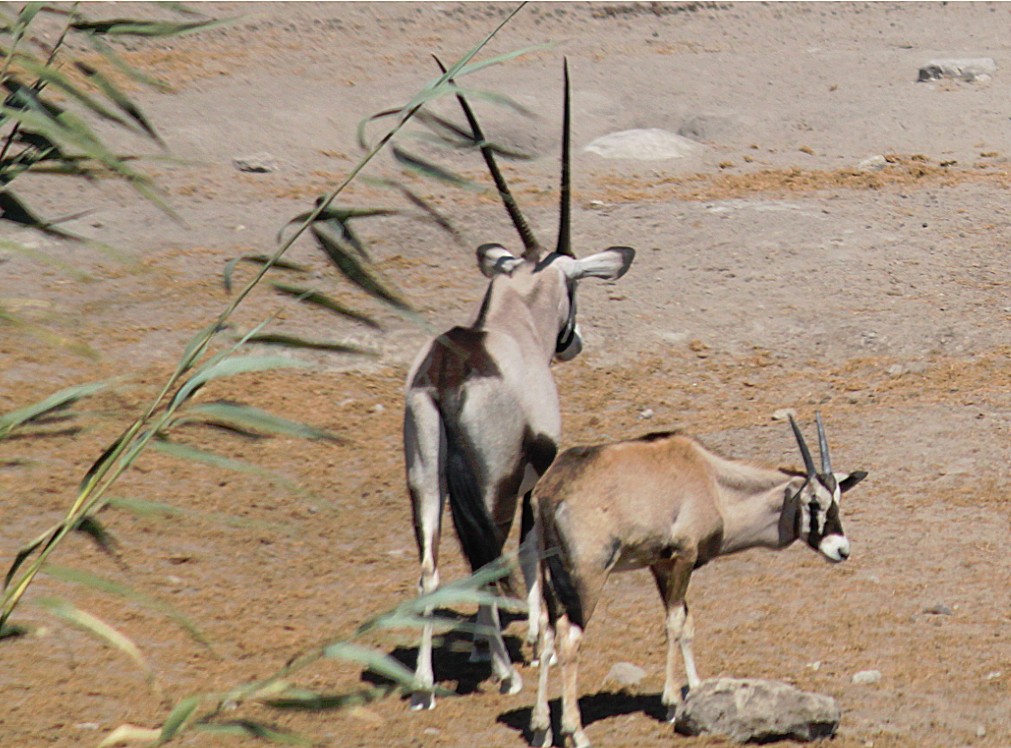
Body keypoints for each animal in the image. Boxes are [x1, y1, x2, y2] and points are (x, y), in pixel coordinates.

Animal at [400, 61, 630, 711]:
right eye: (574, 286)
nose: (572, 341)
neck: (507, 325)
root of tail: (450, 372)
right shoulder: (533, 477)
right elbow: (529, 553)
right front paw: (532, 640)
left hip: (426, 478)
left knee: (431, 565)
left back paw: (424, 684)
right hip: (492, 485)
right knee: (487, 559)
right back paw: (506, 674)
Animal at [529, 414, 869, 748]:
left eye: (837, 500)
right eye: (813, 502)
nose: (841, 549)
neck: (712, 481)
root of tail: (550, 493)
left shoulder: (661, 564)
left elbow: (686, 623)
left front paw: (695, 692)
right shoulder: (683, 557)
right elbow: (675, 623)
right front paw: (671, 703)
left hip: (548, 576)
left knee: (547, 634)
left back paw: (541, 728)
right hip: (588, 579)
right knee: (569, 640)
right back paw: (575, 731)